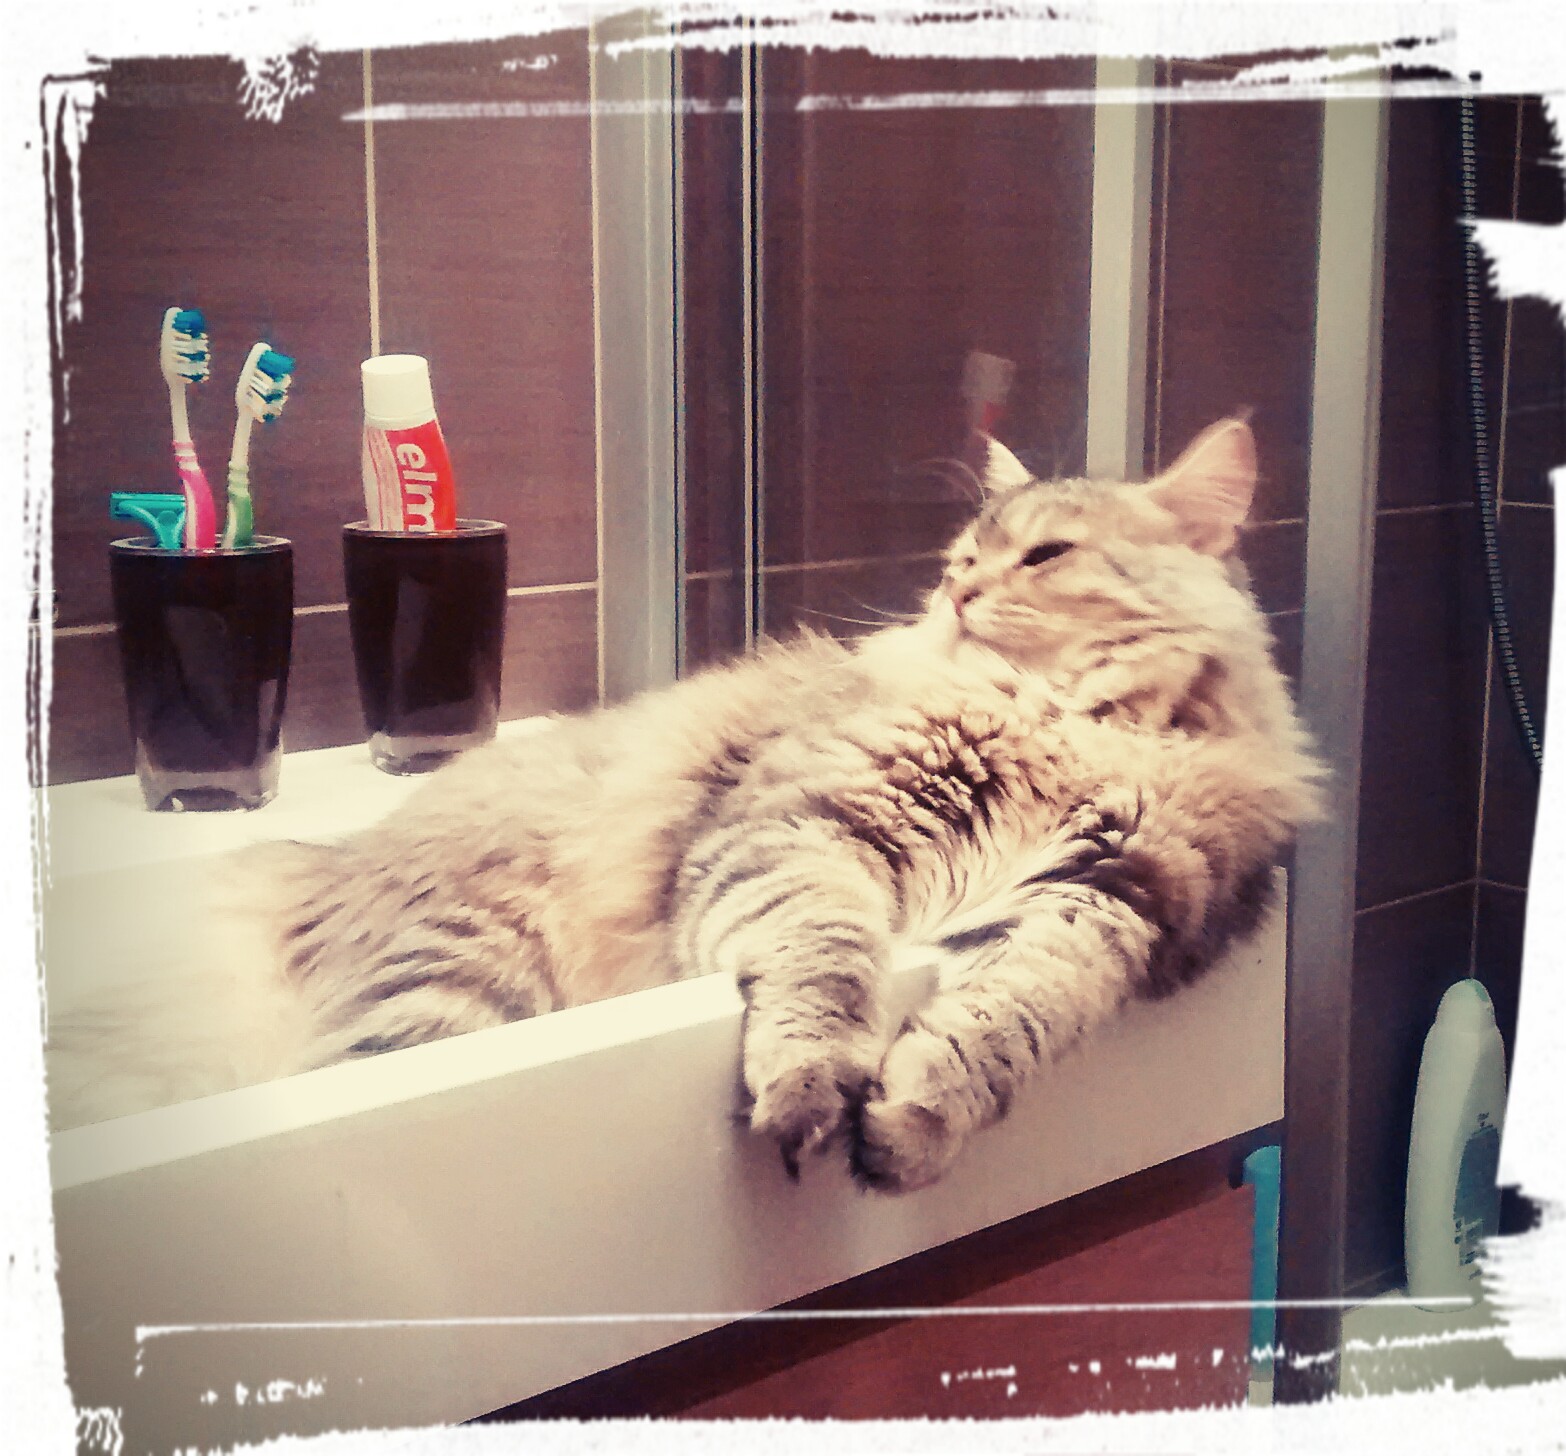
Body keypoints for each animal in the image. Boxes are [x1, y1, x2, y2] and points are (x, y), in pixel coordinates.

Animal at [45, 417, 1324, 1191]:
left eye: (1045, 555)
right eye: (963, 553)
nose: (955, 588)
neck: (1058, 723)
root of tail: (320, 855)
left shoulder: (1121, 899)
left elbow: (1013, 1014)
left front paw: (919, 1113)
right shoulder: (798, 831)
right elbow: (828, 960)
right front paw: (815, 1081)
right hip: (452, 986)